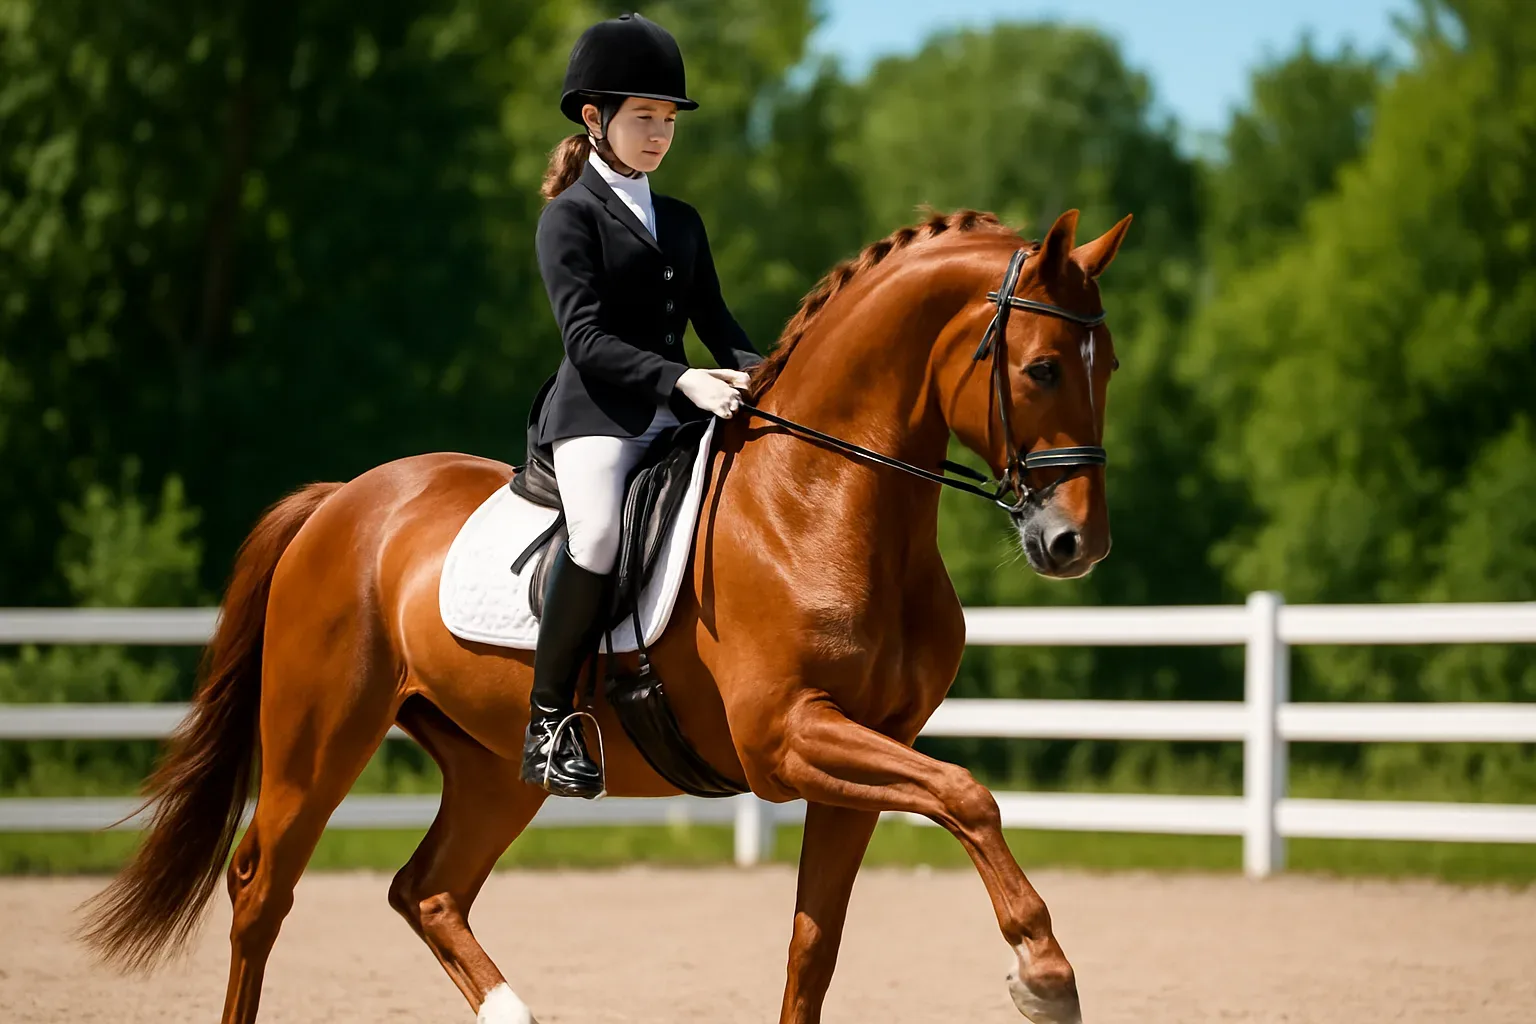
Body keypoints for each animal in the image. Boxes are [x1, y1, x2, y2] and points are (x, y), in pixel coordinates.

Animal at [81, 206, 1131, 1024]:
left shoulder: (867, 749)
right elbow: (968, 794)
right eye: (1042, 369)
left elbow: (816, 946)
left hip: (495, 765)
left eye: (1109, 364)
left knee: (428, 891)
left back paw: (515, 1010)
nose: (1076, 542)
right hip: (318, 741)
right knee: (262, 891)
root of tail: (342, 500)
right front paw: (1045, 975)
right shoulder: (788, 739)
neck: (822, 501)